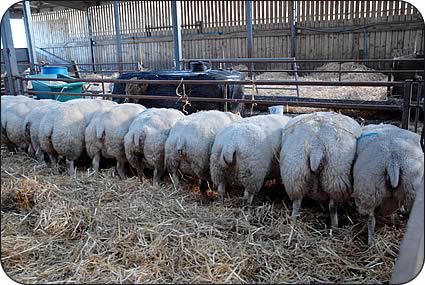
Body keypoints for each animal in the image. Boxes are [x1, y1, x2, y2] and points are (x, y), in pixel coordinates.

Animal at [280, 111, 360, 242]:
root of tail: (316, 145)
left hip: (295, 173)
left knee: (296, 205)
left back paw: (292, 229)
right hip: (336, 176)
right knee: (332, 206)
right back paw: (335, 229)